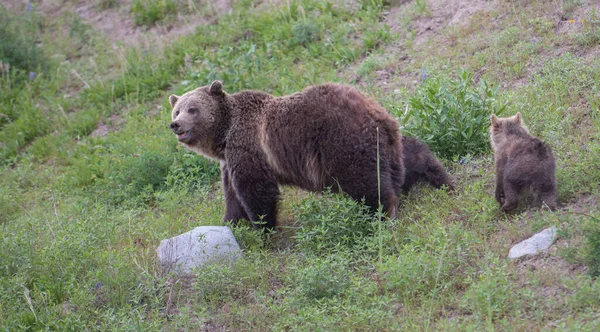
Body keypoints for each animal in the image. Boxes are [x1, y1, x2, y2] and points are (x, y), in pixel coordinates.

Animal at [166, 81, 406, 231]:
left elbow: (256, 190)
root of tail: (374, 111)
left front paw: (262, 228)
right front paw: (231, 223)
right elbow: (233, 196)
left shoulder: (248, 147)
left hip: (341, 140)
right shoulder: (229, 160)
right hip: (389, 144)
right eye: (177, 110)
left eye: (193, 109)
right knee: (392, 172)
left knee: (363, 180)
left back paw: (380, 213)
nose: (175, 124)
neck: (224, 134)